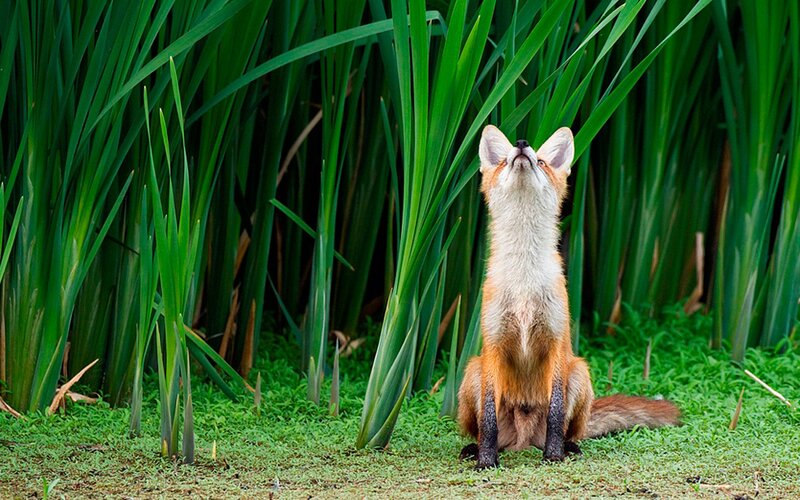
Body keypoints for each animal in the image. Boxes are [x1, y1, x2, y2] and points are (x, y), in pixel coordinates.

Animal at [457, 125, 680, 468]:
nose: (522, 144)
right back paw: (475, 448)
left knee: (568, 428)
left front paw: (553, 456)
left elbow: (556, 411)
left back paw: (568, 447)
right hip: (472, 372)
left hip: (579, 373)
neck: (524, 282)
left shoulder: (556, 342)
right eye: (506, 160)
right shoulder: (493, 346)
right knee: (485, 429)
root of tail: (523, 439)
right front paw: (486, 461)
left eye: (542, 162)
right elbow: (490, 420)